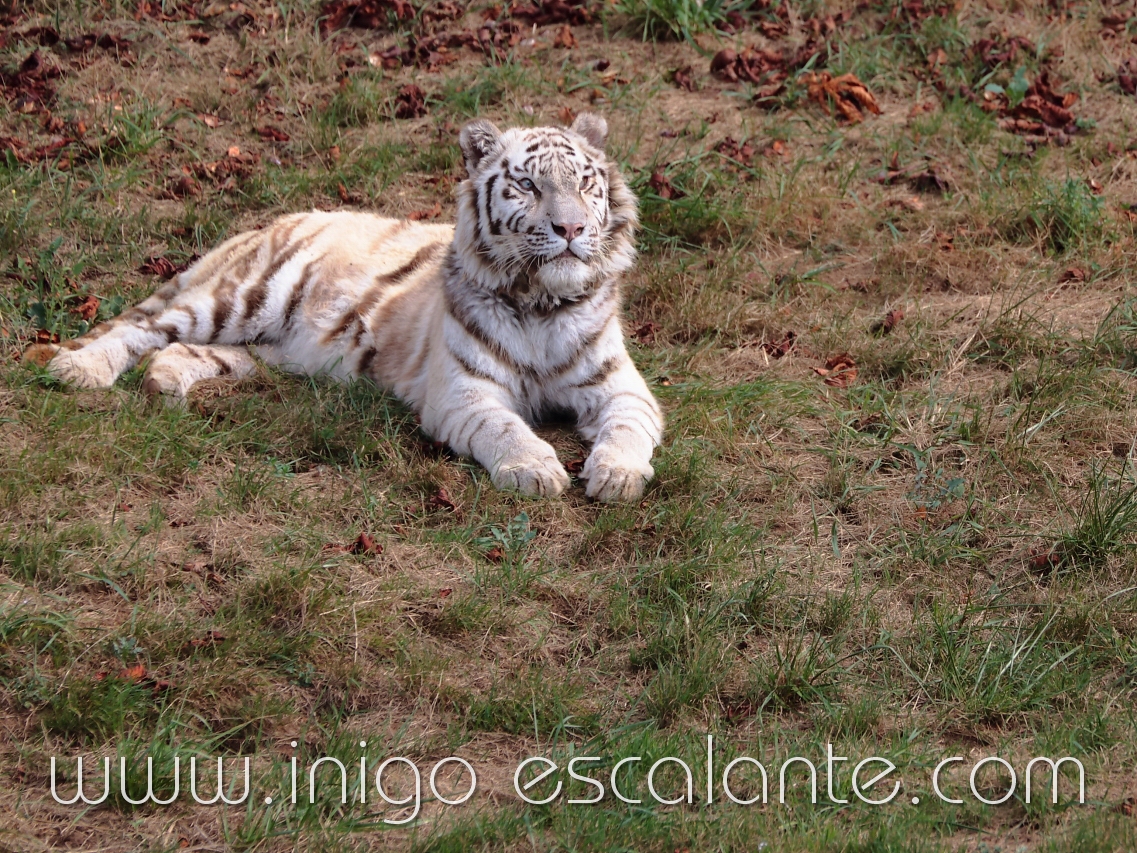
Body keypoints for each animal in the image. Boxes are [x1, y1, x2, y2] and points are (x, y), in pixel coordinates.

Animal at [23, 113, 664, 503]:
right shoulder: (463, 394)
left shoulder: (621, 386)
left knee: (183, 350)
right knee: (145, 327)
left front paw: (617, 475)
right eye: (528, 185)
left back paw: (166, 388)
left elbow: (628, 426)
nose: (571, 228)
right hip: (239, 300)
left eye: (585, 184)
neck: (541, 303)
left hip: (271, 350)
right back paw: (80, 368)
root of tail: (266, 223)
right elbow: (504, 427)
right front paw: (536, 470)